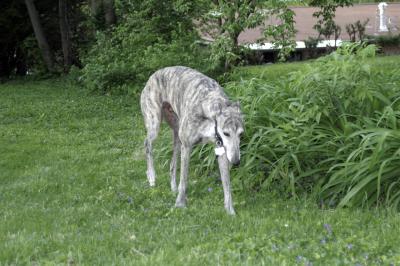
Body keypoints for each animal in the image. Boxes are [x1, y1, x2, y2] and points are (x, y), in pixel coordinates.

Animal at [140, 65, 244, 215]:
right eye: (226, 133)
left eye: (241, 134)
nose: (236, 162)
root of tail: (153, 76)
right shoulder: (188, 146)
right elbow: (184, 179)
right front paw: (180, 204)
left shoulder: (222, 150)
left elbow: (227, 185)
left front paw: (230, 211)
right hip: (155, 124)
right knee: (147, 144)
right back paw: (152, 177)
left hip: (177, 134)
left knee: (172, 164)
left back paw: (173, 187)